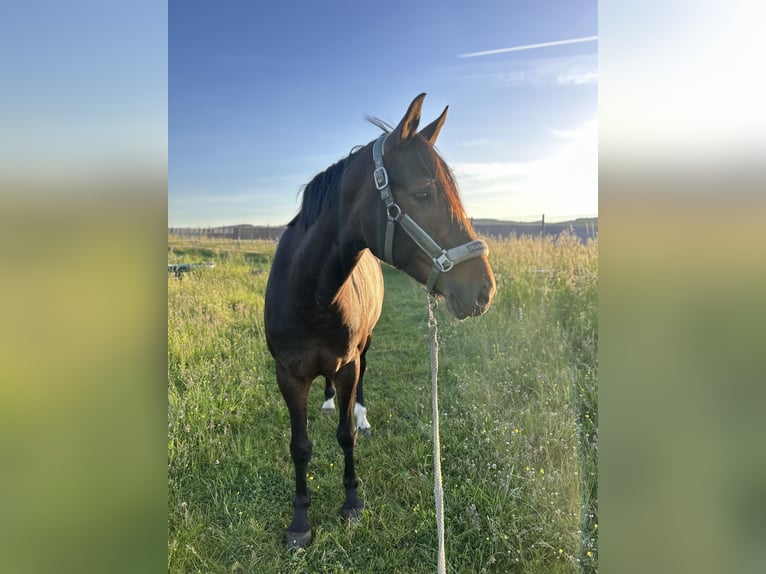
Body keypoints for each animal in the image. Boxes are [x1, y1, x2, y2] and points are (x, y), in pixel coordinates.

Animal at [264, 93, 496, 549]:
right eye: (424, 192)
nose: (484, 291)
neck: (310, 296)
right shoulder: (288, 375)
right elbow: (300, 446)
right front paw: (300, 521)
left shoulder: (349, 364)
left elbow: (345, 435)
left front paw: (352, 502)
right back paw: (328, 400)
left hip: (364, 348)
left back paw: (361, 415)